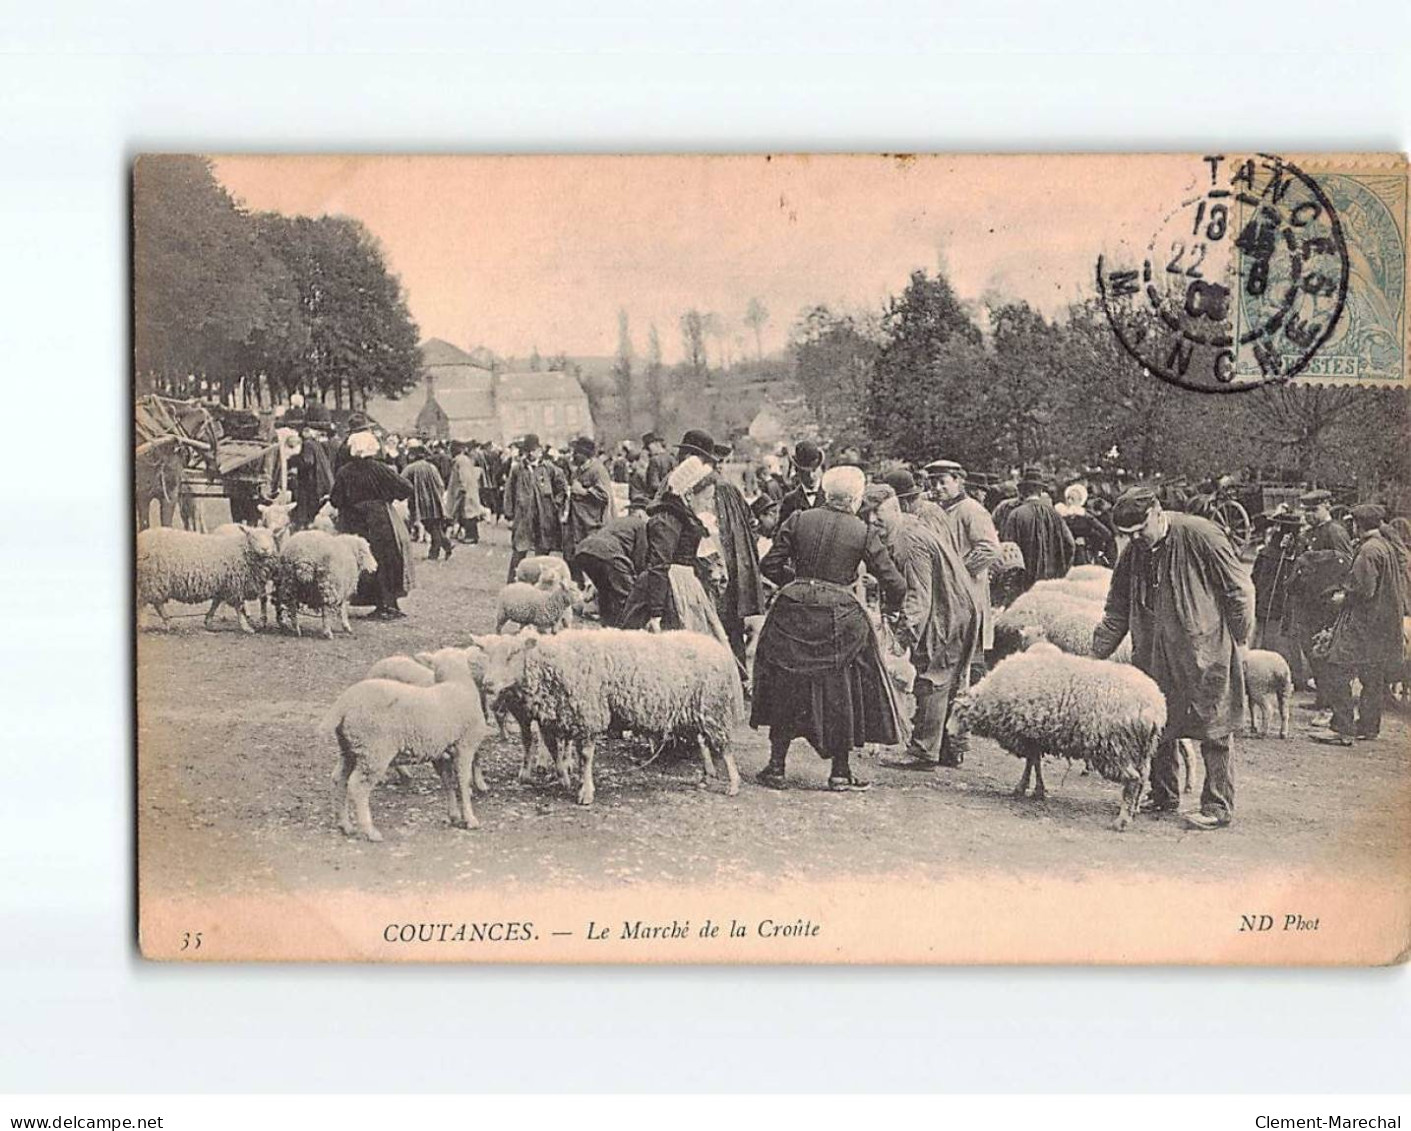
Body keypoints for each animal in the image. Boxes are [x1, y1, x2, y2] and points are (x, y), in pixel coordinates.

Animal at [136, 521, 279, 628]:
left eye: (271, 537)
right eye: (253, 537)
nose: (265, 549)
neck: (240, 550)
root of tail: (142, 538)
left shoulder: (223, 584)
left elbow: (216, 602)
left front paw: (208, 620)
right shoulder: (234, 585)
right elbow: (239, 607)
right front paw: (246, 626)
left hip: (153, 580)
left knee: (155, 602)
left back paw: (167, 622)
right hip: (152, 578)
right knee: (146, 602)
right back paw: (146, 624)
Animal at [320, 648, 491, 840]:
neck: (456, 684)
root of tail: (343, 704)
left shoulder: (441, 753)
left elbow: (448, 782)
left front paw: (453, 816)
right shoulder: (465, 745)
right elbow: (463, 781)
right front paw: (470, 819)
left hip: (350, 747)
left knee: (338, 779)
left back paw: (345, 825)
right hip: (374, 749)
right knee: (358, 786)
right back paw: (369, 831)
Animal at [479, 626, 745, 801]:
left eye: (512, 654)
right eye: (487, 656)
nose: (487, 683)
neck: (556, 662)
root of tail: (717, 647)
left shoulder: (588, 715)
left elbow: (585, 757)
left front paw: (585, 792)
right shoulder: (557, 718)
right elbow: (555, 751)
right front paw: (564, 778)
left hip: (713, 707)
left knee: (725, 747)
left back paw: (733, 784)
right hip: (696, 711)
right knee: (704, 741)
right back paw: (707, 774)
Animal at [948, 634, 1168, 829]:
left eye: (956, 712)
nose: (948, 733)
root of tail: (1154, 706)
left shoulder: (1026, 735)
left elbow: (1032, 762)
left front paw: (1024, 788)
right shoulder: (1034, 736)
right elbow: (1034, 763)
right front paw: (1036, 790)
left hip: (1115, 747)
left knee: (1132, 780)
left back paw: (1121, 821)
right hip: (1141, 750)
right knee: (1143, 777)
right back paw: (1134, 810)